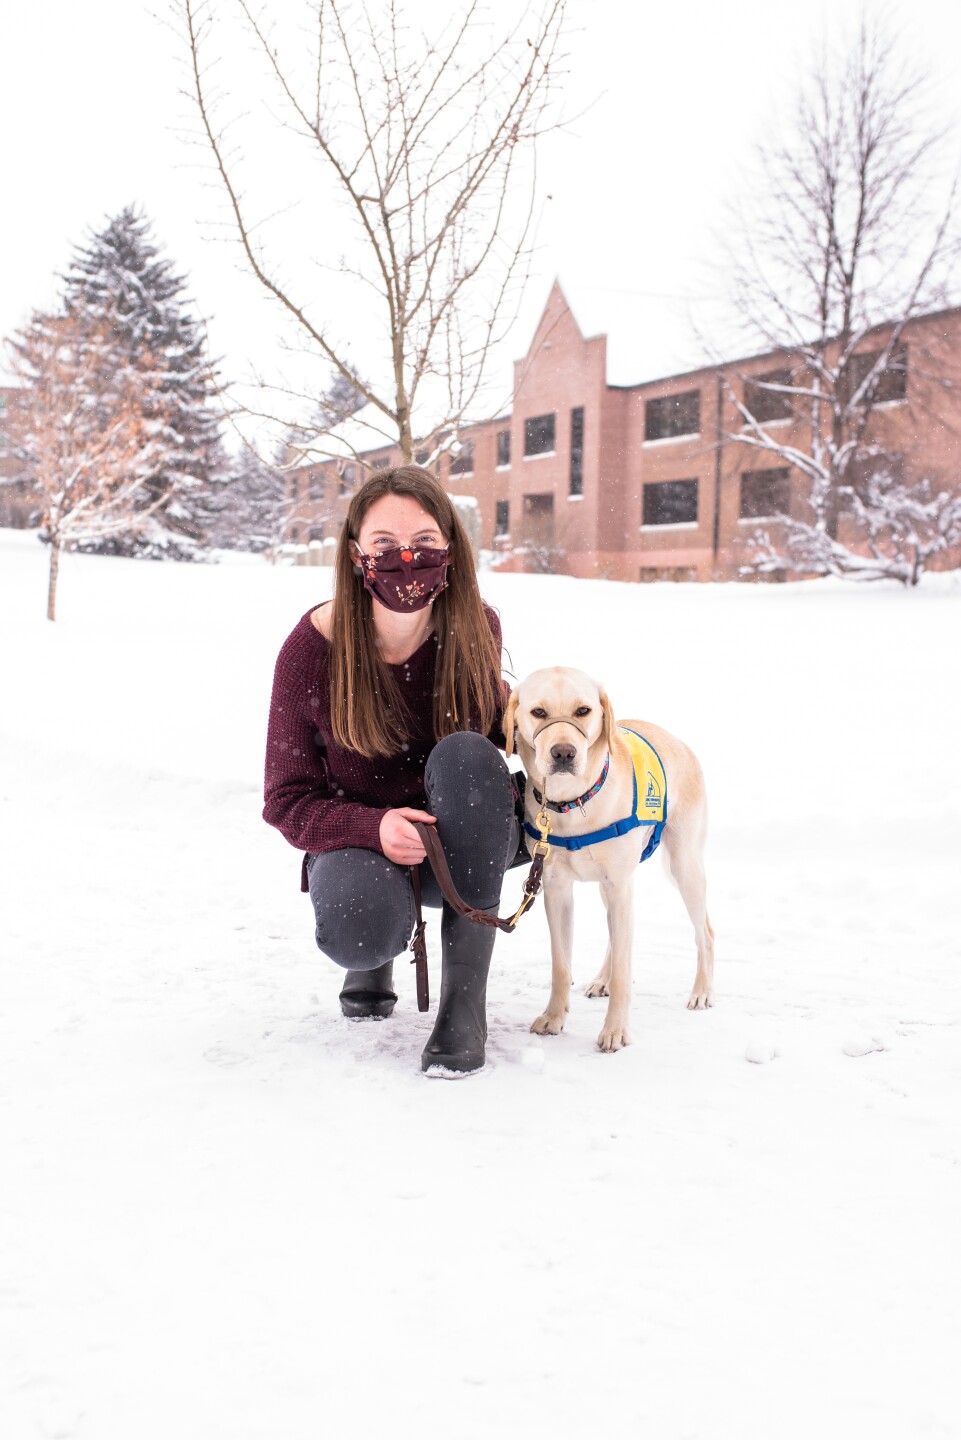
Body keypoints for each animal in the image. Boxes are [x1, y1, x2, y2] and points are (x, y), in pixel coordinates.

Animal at [507, 668, 711, 1054]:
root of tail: (678, 740)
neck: (573, 802)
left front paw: (615, 1030)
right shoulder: (557, 888)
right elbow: (561, 964)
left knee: (704, 930)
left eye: (583, 710)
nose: (564, 752)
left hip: (683, 866)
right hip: (611, 886)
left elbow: (623, 972)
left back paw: (702, 991)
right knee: (616, 939)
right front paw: (553, 1018)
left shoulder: (619, 884)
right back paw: (602, 978)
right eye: (538, 712)